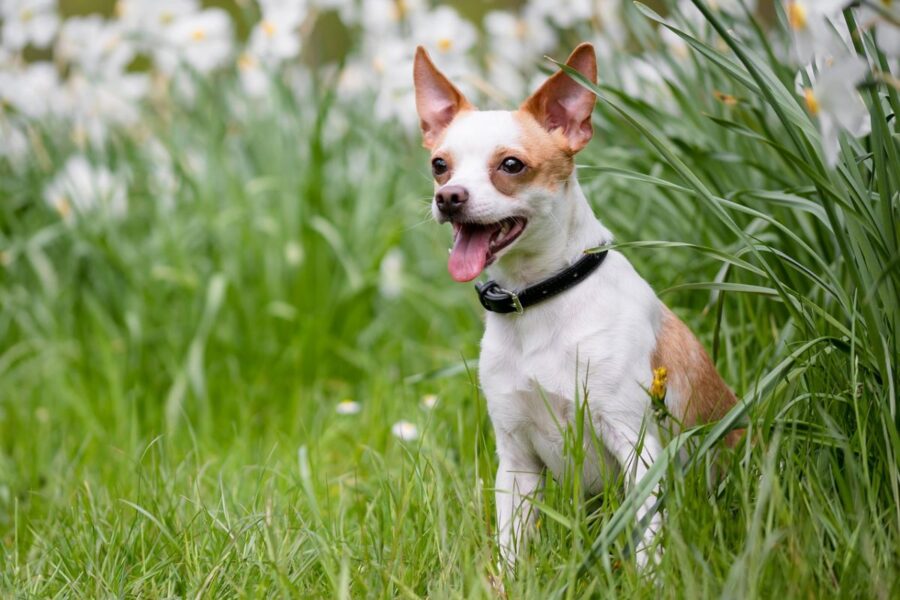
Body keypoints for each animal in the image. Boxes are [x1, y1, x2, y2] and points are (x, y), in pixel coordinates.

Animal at [414, 42, 740, 568]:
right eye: (439, 165)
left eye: (511, 165)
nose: (448, 197)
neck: (537, 298)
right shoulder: (517, 462)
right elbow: (511, 545)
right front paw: (509, 579)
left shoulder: (636, 445)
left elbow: (648, 538)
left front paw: (648, 579)